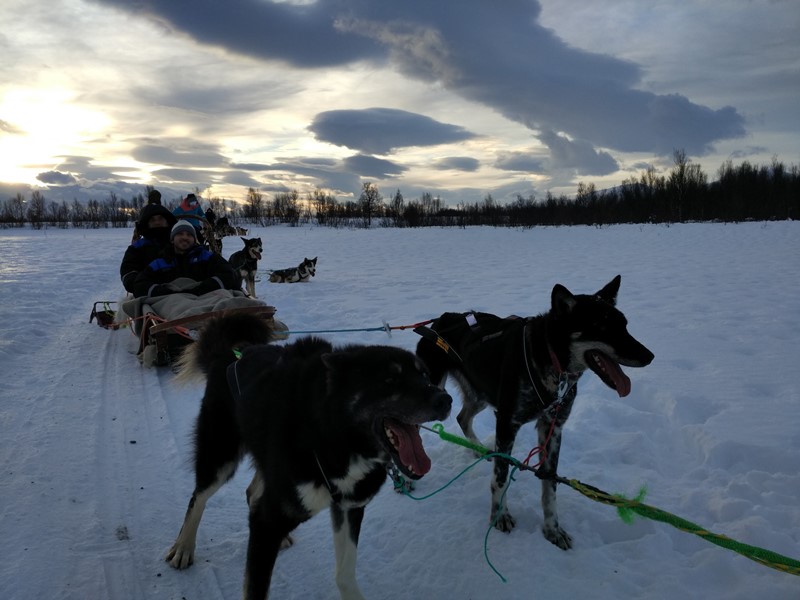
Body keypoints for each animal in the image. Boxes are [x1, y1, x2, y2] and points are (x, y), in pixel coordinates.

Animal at [166, 312, 454, 596]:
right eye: (390, 380)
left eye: (425, 375)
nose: (445, 400)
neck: (336, 439)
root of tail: (231, 353)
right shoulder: (266, 524)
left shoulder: (348, 508)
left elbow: (345, 574)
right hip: (220, 456)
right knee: (199, 497)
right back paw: (183, 547)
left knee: (252, 493)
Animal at [416, 274, 652, 552]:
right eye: (603, 327)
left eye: (624, 325)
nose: (650, 356)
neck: (548, 358)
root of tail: (440, 320)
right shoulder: (507, 423)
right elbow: (500, 478)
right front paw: (500, 516)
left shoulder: (553, 427)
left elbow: (550, 484)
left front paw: (553, 530)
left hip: (480, 395)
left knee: (462, 418)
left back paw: (479, 449)